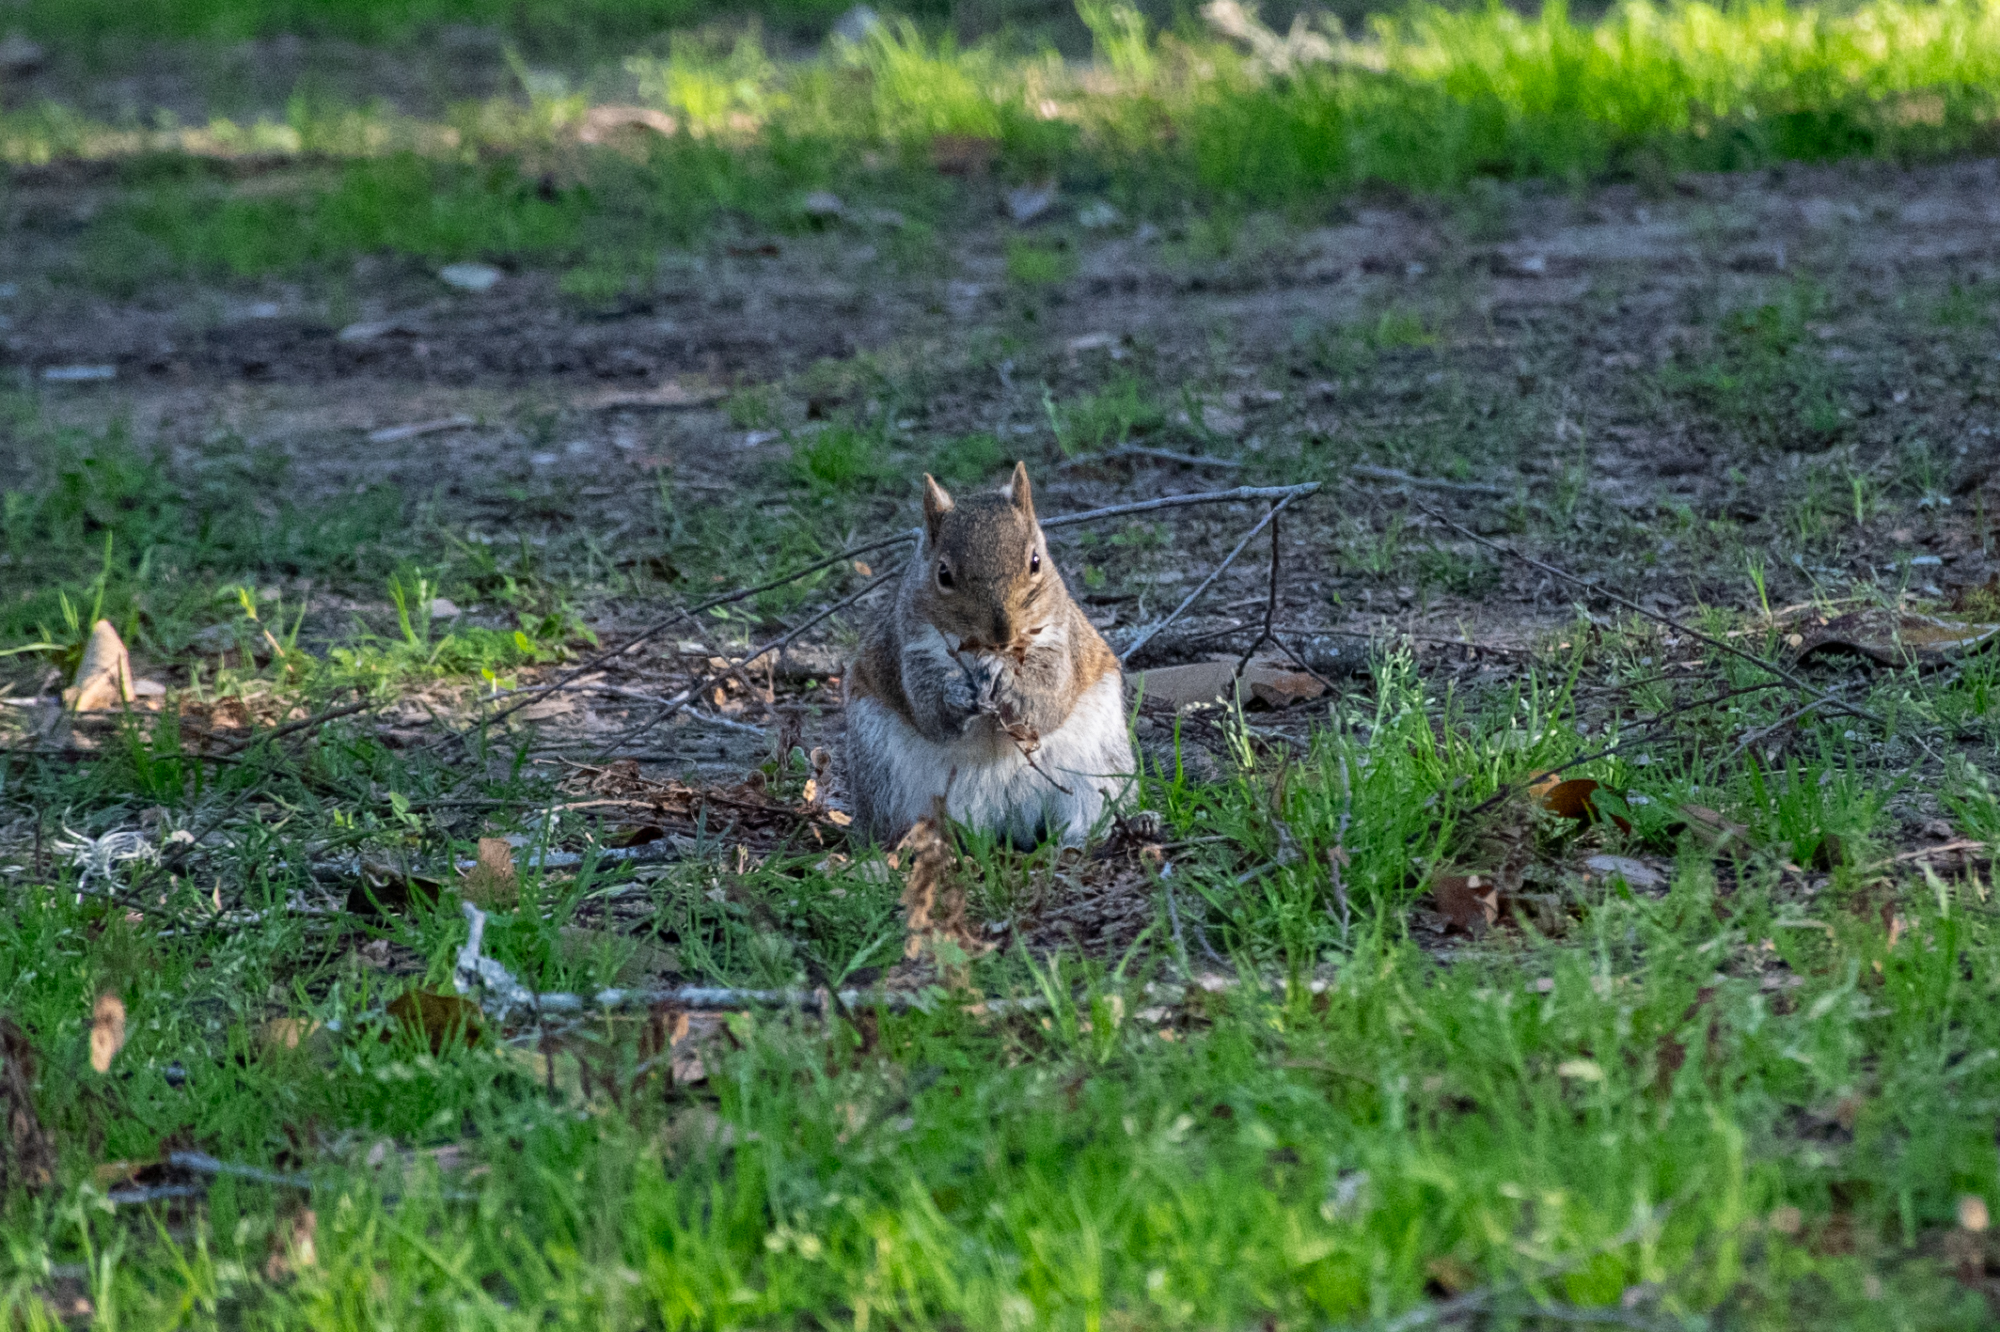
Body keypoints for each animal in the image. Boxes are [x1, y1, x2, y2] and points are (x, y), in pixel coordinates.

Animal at [840, 460, 1136, 840]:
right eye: (943, 573)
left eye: (1036, 561)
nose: (1002, 632)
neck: (984, 652)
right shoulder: (913, 648)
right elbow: (928, 707)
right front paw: (957, 694)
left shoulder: (1059, 643)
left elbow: (1048, 698)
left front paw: (1010, 682)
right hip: (883, 774)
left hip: (1096, 767)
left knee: (1088, 815)